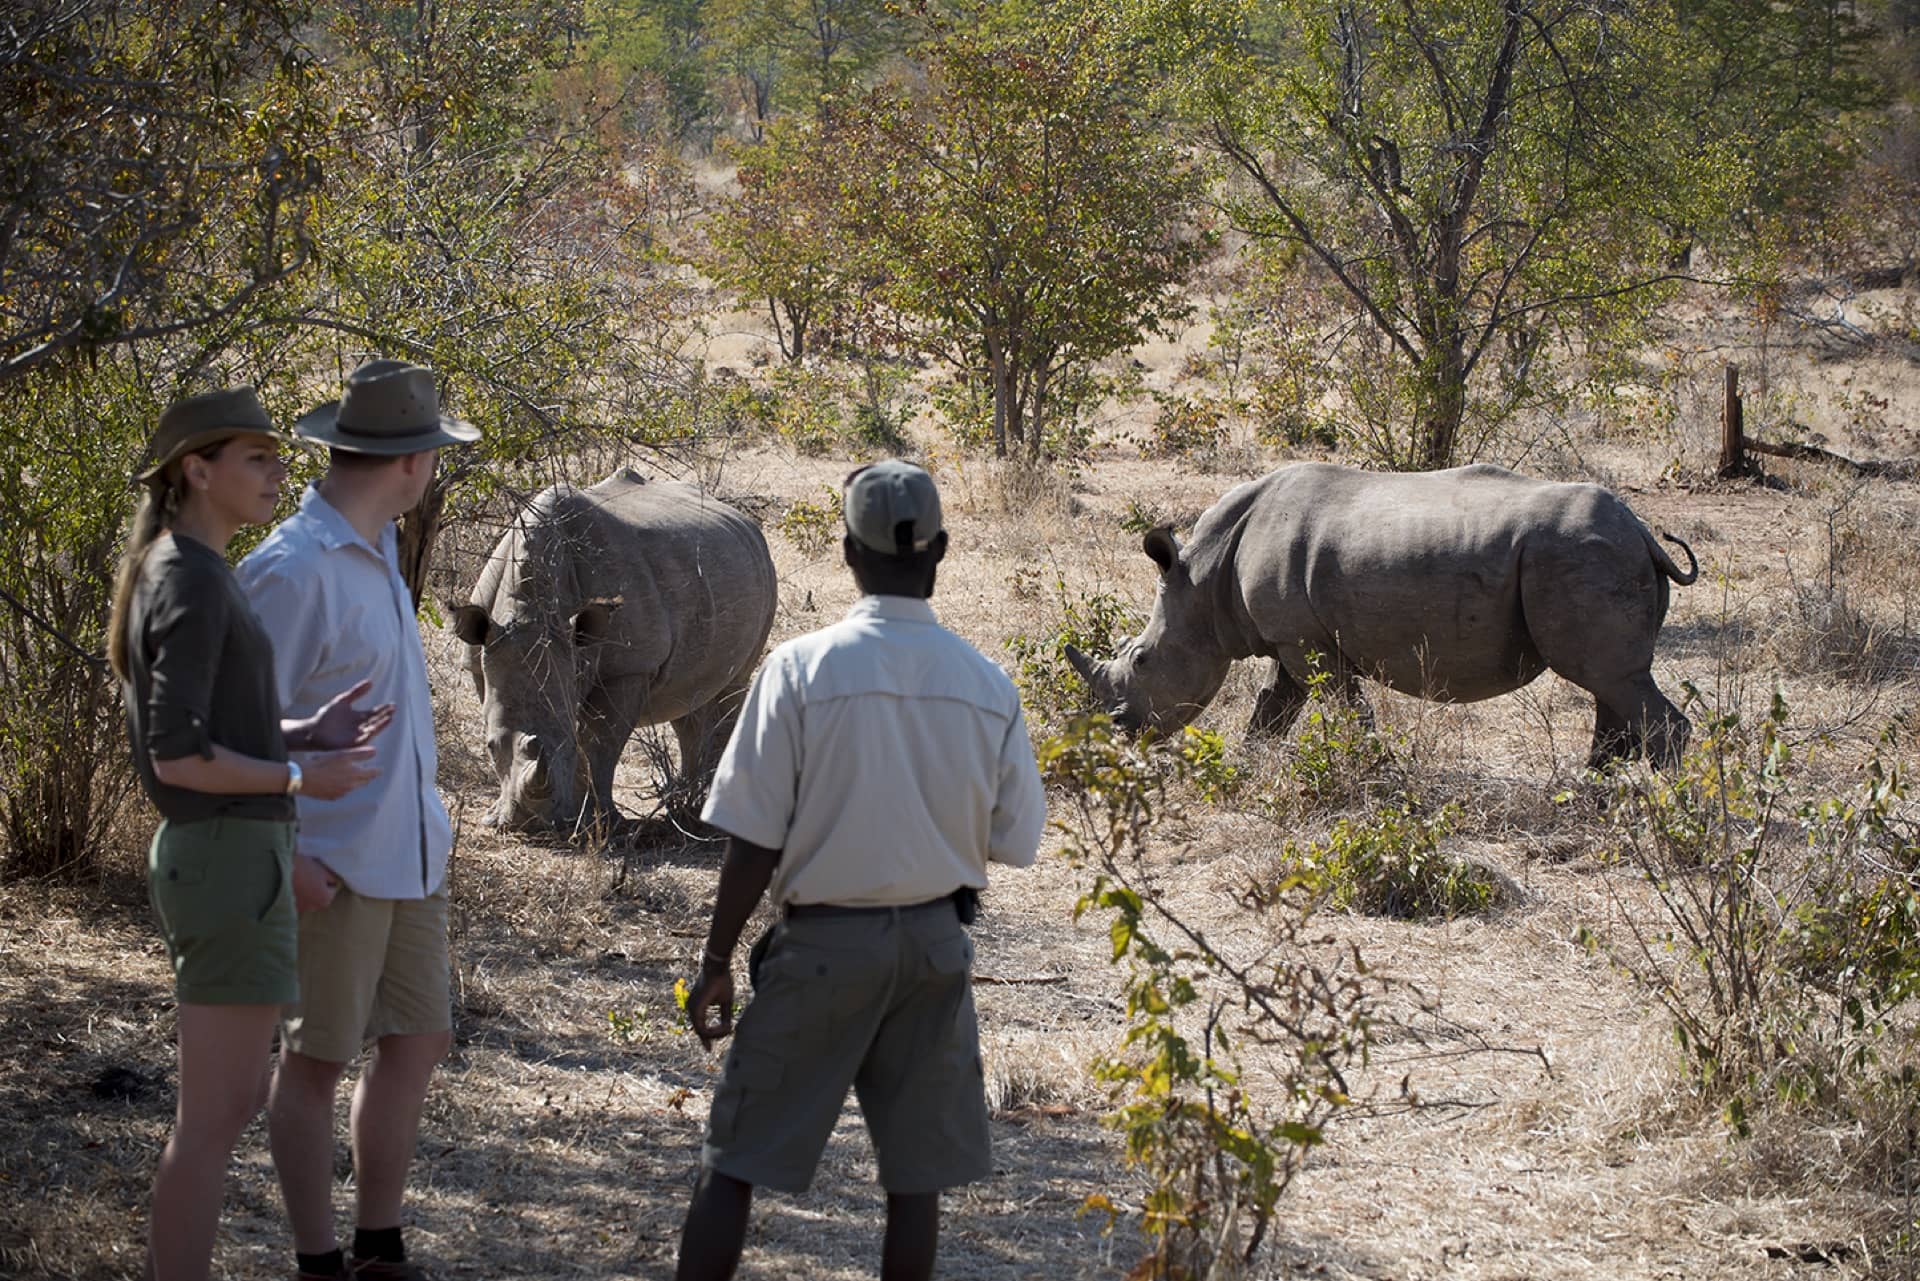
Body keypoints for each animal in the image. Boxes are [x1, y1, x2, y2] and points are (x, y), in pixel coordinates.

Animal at [451, 469, 777, 831]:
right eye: (489, 747)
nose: (530, 823)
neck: (531, 613)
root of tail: (748, 524)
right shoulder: (483, 655)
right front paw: (503, 815)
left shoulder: (628, 667)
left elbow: (600, 741)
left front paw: (598, 821)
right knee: (689, 702)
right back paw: (686, 802)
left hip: (764, 573)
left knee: (731, 688)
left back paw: (708, 812)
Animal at [1065, 463, 1700, 768]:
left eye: (1142, 659)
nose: (1121, 730)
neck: (1201, 577)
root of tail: (1645, 533)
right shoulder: (1291, 637)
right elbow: (1274, 708)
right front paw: (1250, 767)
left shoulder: (1306, 640)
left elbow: (1345, 708)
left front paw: (1373, 773)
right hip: (1595, 553)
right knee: (1611, 683)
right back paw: (1590, 796)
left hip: (1581, 554)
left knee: (1608, 679)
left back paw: (1667, 812)